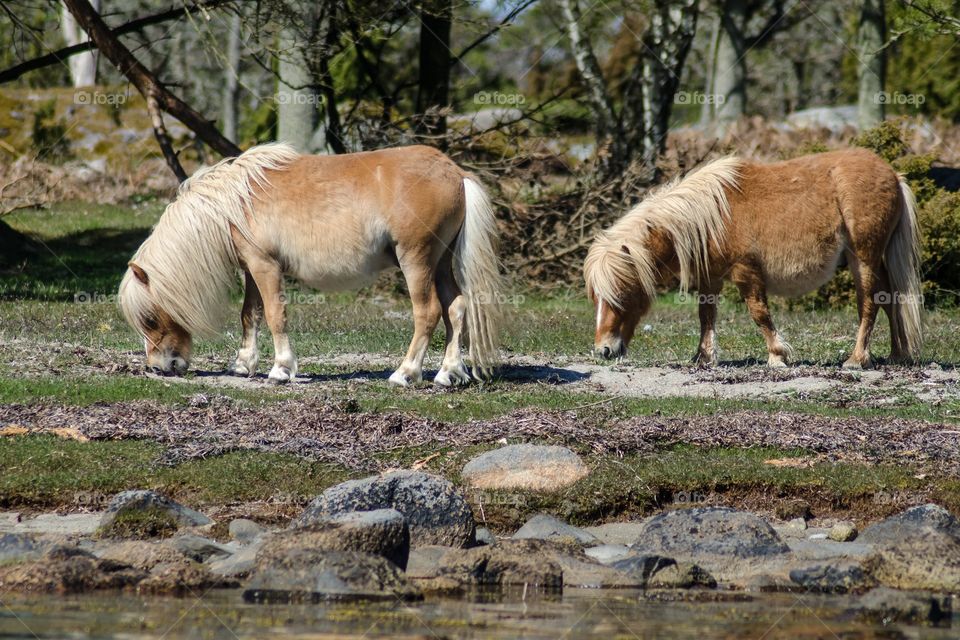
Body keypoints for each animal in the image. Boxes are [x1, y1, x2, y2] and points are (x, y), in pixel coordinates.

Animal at [118, 145, 502, 384]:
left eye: (149, 319)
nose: (159, 367)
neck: (234, 203)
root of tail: (454, 172)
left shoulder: (266, 267)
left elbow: (275, 315)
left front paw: (280, 370)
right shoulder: (252, 270)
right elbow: (250, 315)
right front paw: (243, 365)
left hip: (416, 261)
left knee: (429, 312)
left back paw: (405, 373)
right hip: (441, 264)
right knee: (456, 309)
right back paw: (447, 374)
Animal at [584, 149, 924, 368]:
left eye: (622, 295)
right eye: (595, 299)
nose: (603, 351)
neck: (713, 214)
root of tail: (893, 175)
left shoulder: (745, 272)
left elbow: (759, 314)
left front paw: (777, 355)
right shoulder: (711, 277)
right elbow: (705, 315)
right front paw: (704, 357)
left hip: (863, 258)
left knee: (870, 302)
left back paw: (857, 359)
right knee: (890, 299)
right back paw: (897, 354)